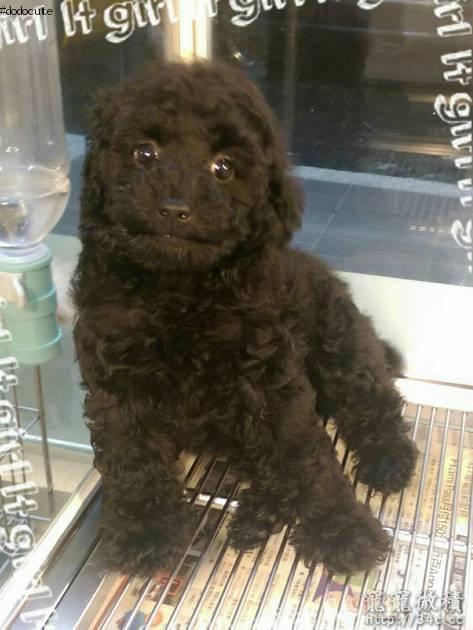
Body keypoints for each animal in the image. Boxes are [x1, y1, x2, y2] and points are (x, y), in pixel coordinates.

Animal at [72, 61, 418, 577]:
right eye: (144, 153)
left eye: (223, 168)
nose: (174, 208)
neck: (180, 292)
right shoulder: (117, 381)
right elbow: (132, 458)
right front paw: (144, 530)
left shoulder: (270, 382)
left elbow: (305, 456)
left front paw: (341, 528)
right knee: (265, 469)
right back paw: (255, 516)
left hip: (342, 347)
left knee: (373, 402)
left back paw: (388, 459)